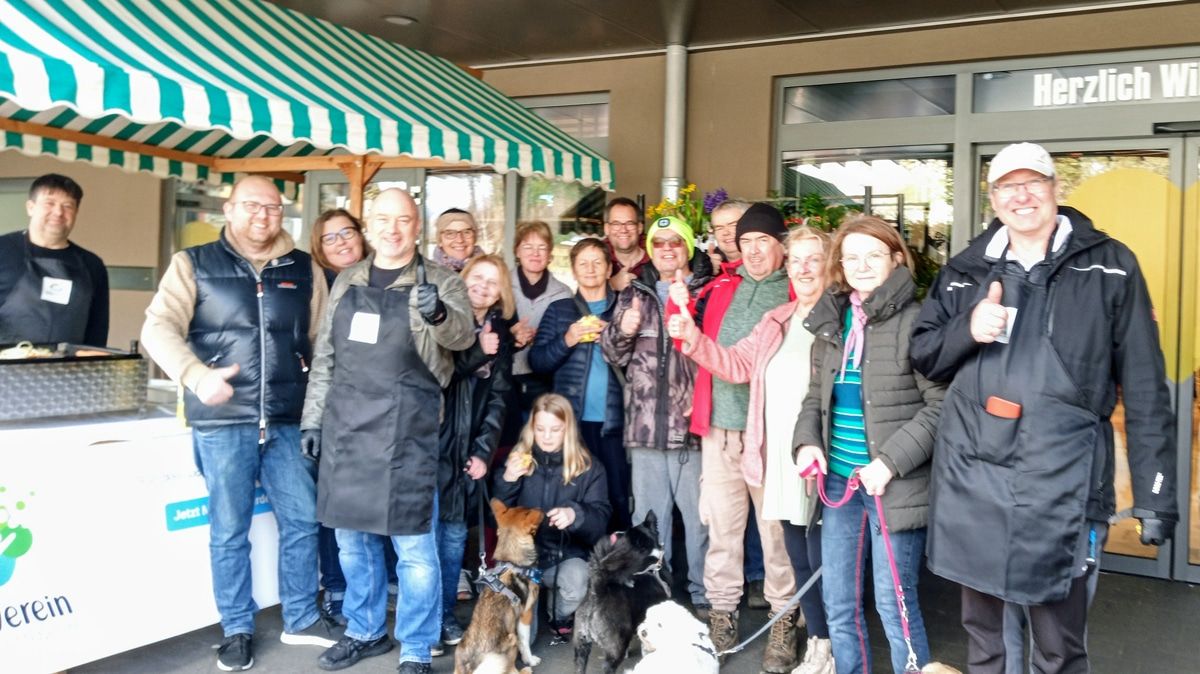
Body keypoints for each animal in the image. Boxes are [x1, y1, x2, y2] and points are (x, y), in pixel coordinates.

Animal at [455, 499, 544, 674]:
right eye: (527, 511)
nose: (539, 508)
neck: (511, 562)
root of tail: (472, 667)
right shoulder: (526, 615)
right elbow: (525, 642)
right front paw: (530, 660)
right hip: (512, 638)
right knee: (511, 670)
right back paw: (525, 670)